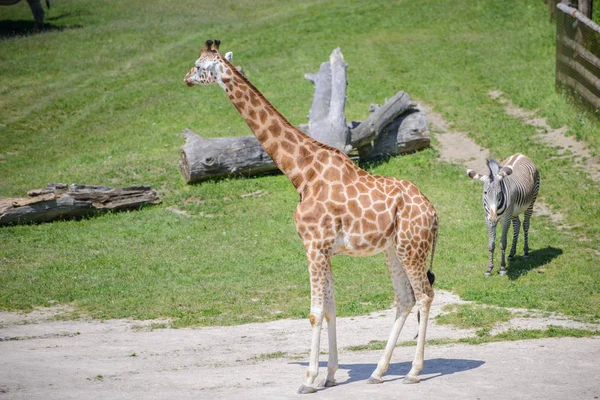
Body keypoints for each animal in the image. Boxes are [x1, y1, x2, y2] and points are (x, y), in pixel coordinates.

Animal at [180, 40, 438, 394]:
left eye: (199, 65)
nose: (185, 79)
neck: (300, 172)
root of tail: (434, 213)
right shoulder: (324, 248)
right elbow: (329, 308)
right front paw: (329, 375)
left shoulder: (313, 245)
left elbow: (315, 311)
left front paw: (309, 380)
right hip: (393, 249)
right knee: (404, 298)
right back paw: (377, 372)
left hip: (412, 247)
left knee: (424, 295)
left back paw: (413, 371)